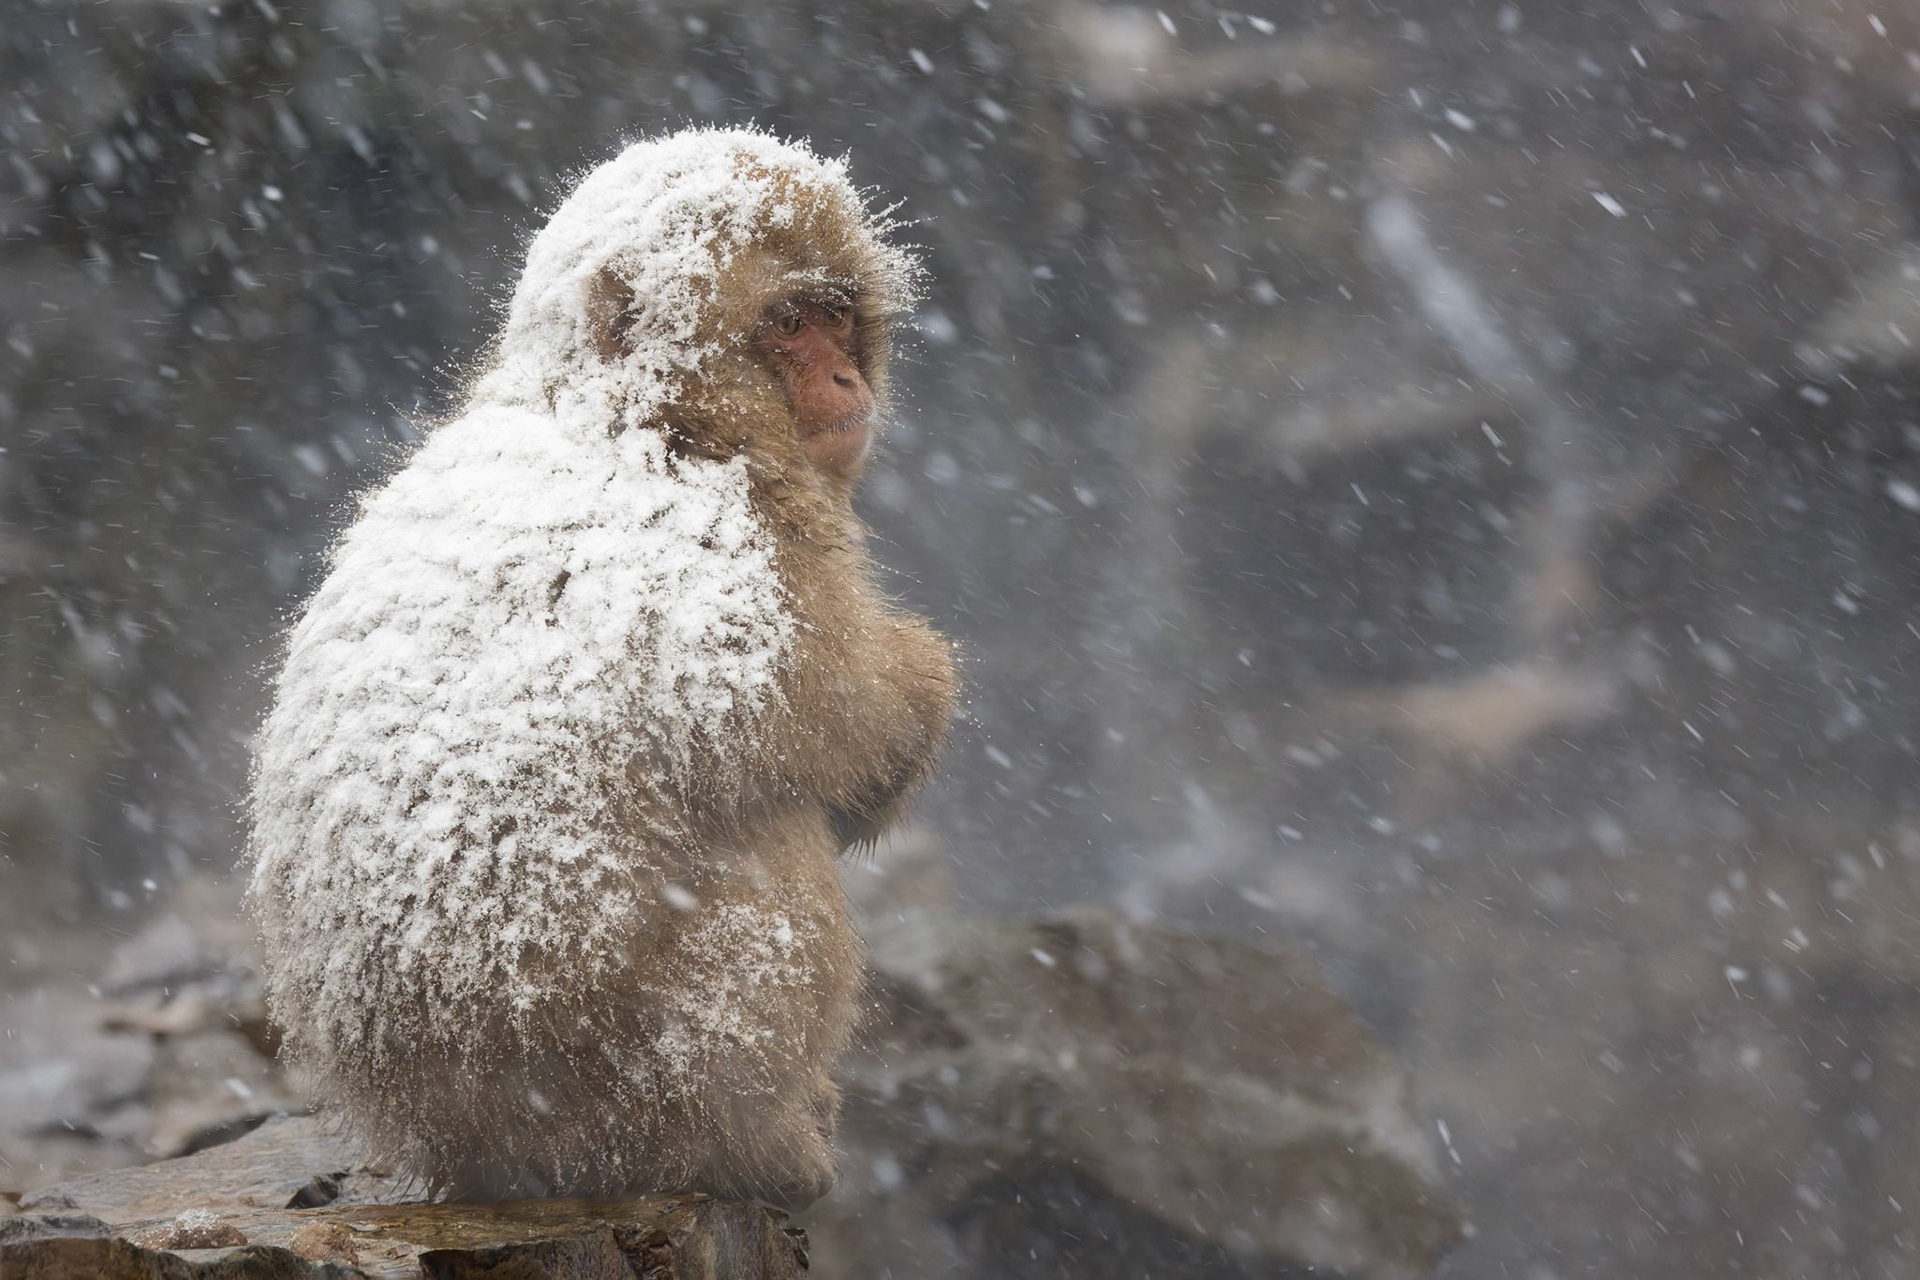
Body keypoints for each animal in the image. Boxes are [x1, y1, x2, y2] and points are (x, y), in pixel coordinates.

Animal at [245, 129, 958, 1207]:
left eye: (837, 314)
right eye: (791, 323)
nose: (845, 381)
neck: (628, 412)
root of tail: (464, 1151)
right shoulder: (731, 558)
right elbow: (842, 735)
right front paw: (922, 682)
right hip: (649, 1087)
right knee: (770, 829)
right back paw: (765, 1149)